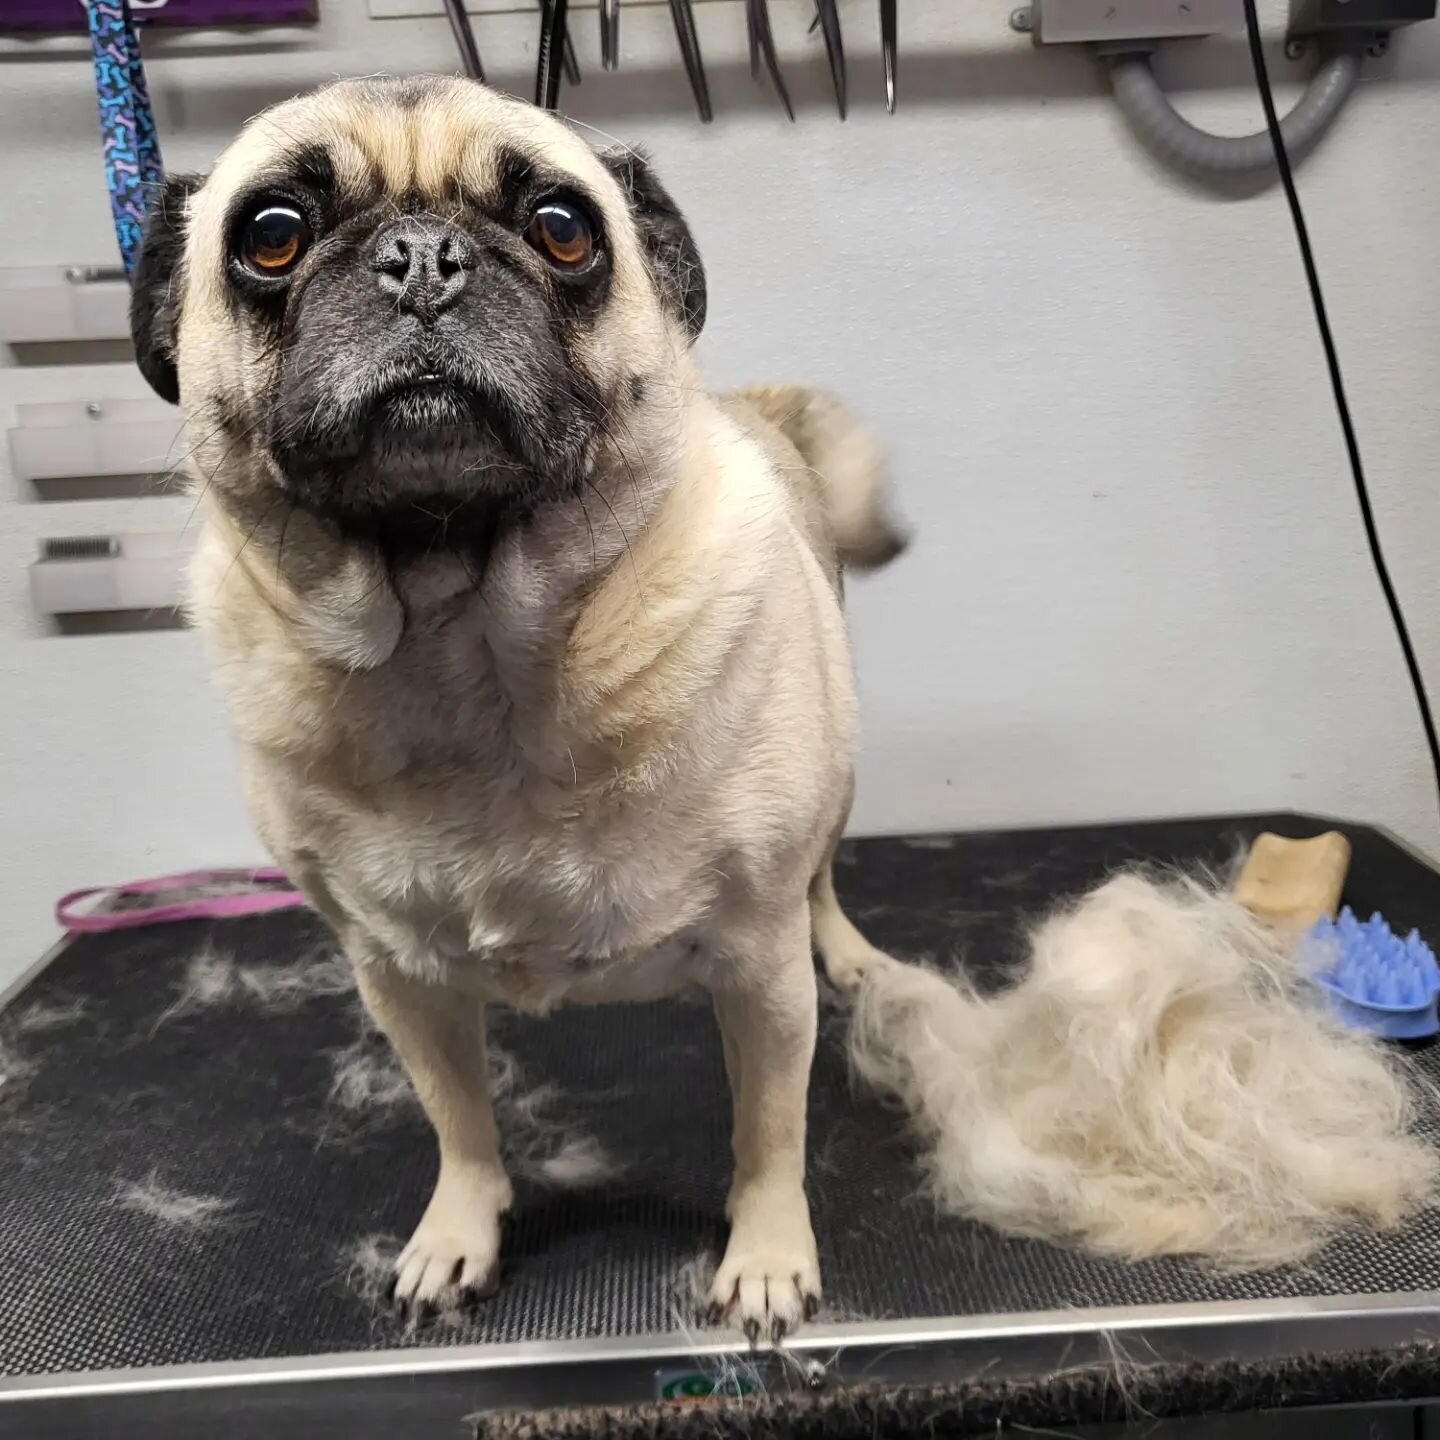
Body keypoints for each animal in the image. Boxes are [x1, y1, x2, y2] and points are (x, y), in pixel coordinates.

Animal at [132, 75, 898, 1336]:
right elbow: (460, 1123)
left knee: (825, 882)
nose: (421, 257)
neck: (462, 646)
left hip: (824, 815)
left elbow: (767, 1134)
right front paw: (461, 1231)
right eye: (271, 235)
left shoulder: (758, 969)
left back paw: (851, 950)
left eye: (561, 227)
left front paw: (768, 1256)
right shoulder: (394, 976)